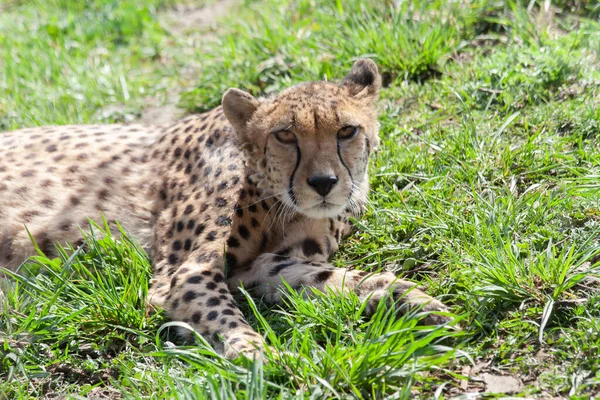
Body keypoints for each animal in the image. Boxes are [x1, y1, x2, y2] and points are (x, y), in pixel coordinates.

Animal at [0, 60, 450, 360]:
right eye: (285, 135)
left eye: (346, 131)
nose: (323, 183)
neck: (277, 202)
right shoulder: (181, 273)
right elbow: (222, 315)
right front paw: (259, 357)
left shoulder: (256, 268)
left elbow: (325, 276)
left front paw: (406, 296)